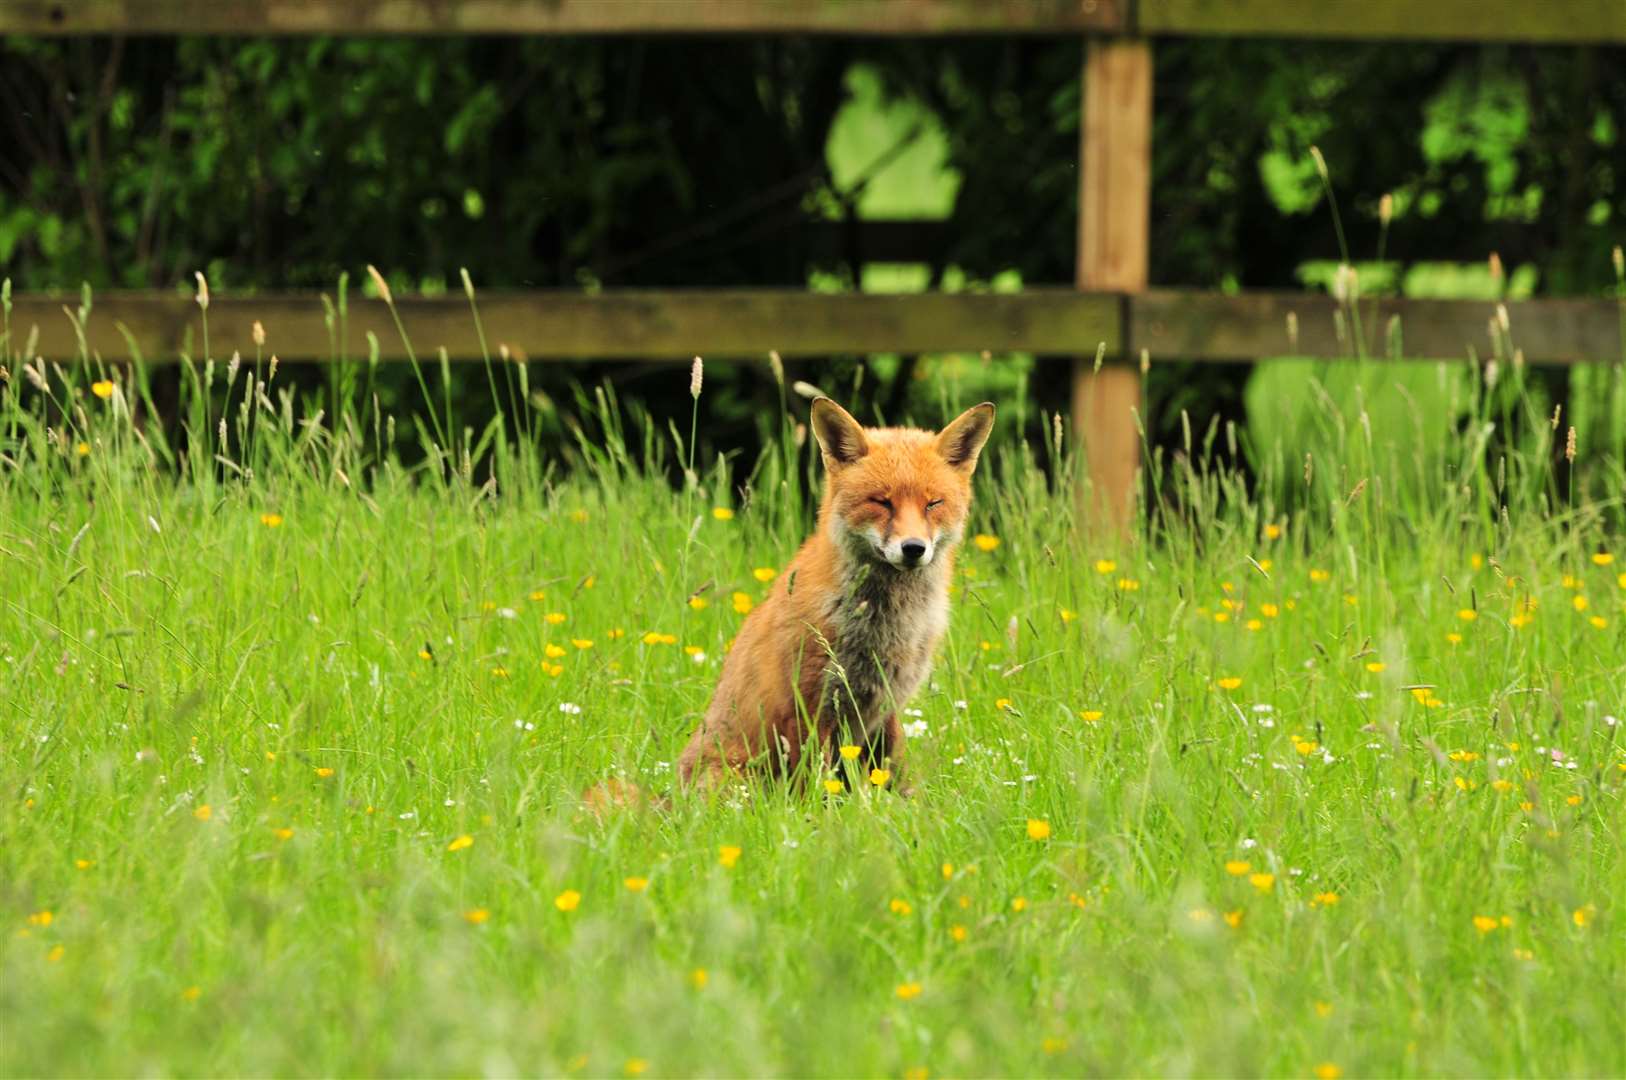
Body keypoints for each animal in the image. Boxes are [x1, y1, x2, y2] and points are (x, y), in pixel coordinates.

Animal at [676, 396, 1001, 793]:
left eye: (933, 504)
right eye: (881, 502)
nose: (913, 548)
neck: (889, 625)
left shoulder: (886, 706)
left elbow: (890, 774)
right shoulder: (810, 704)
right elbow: (814, 786)